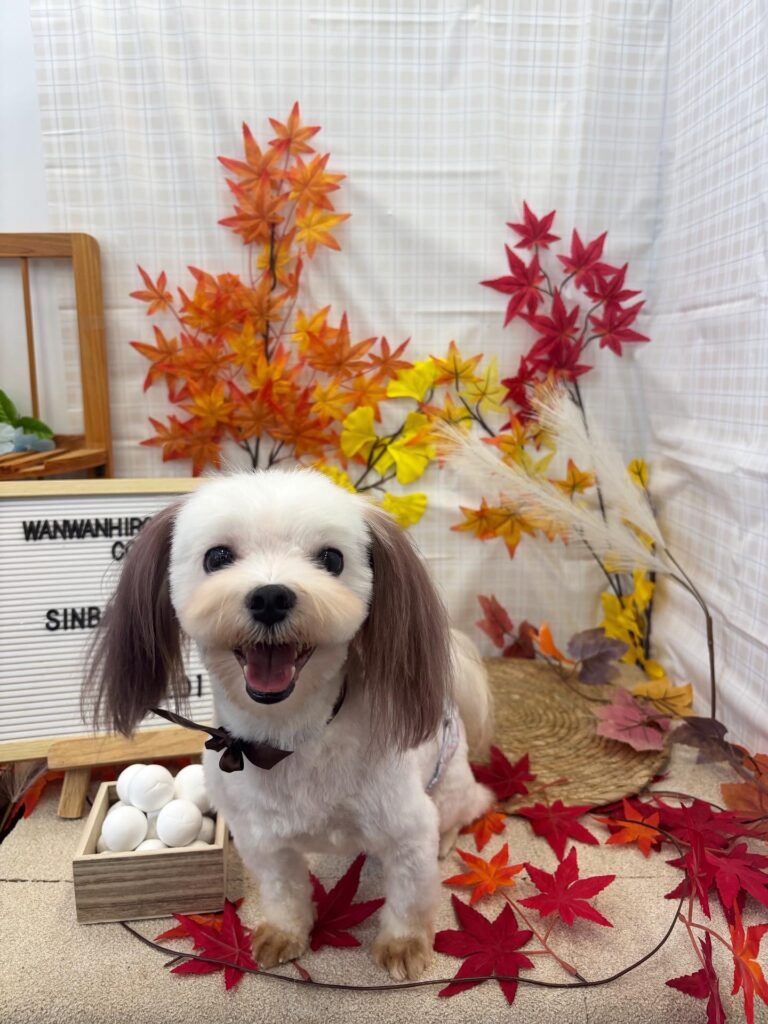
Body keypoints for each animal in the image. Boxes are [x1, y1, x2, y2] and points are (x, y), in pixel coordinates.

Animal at [87, 468, 494, 980]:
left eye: (332, 559)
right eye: (217, 556)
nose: (270, 596)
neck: (288, 738)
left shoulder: (407, 831)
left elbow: (409, 895)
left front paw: (402, 946)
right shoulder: (261, 838)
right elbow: (284, 892)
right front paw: (284, 934)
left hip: (450, 783)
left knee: (466, 808)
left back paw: (449, 835)